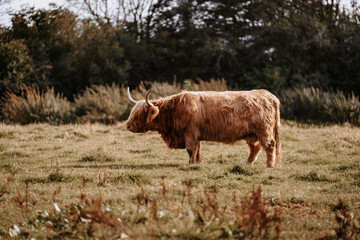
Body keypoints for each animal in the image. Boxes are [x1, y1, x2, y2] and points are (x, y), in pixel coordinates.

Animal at [126, 87, 282, 168]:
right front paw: (197, 163)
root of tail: (269, 95)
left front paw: (191, 164)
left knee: (269, 145)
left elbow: (191, 150)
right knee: (255, 148)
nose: (128, 125)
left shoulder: (189, 133)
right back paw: (248, 163)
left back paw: (269, 165)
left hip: (264, 131)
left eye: (139, 114)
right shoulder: (196, 135)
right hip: (252, 134)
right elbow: (197, 150)